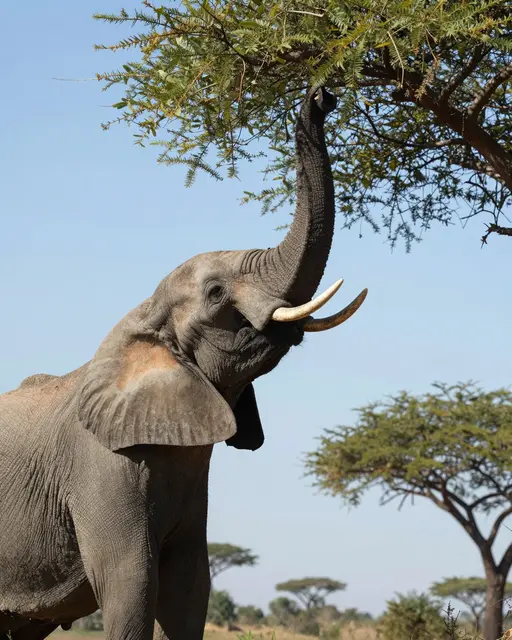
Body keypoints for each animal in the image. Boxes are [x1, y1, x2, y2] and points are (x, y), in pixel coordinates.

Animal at [0, 86, 367, 640]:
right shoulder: (103, 467)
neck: (143, 323)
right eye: (215, 294)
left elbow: (191, 587)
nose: (322, 95)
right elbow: (131, 586)